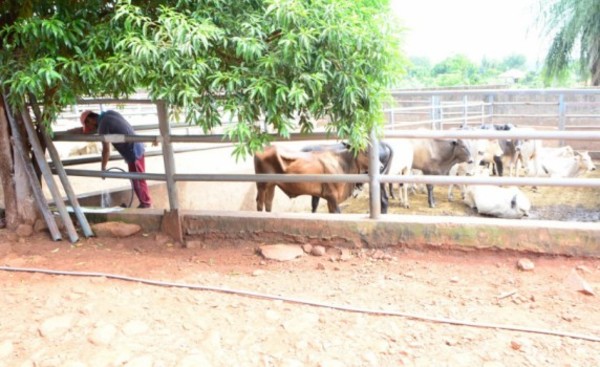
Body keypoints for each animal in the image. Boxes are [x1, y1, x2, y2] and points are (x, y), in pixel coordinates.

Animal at [253, 145, 384, 214]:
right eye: (365, 152)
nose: (381, 166)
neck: (342, 164)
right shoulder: (332, 196)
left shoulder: (329, 199)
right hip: (262, 186)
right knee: (259, 205)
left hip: (271, 185)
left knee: (268, 204)